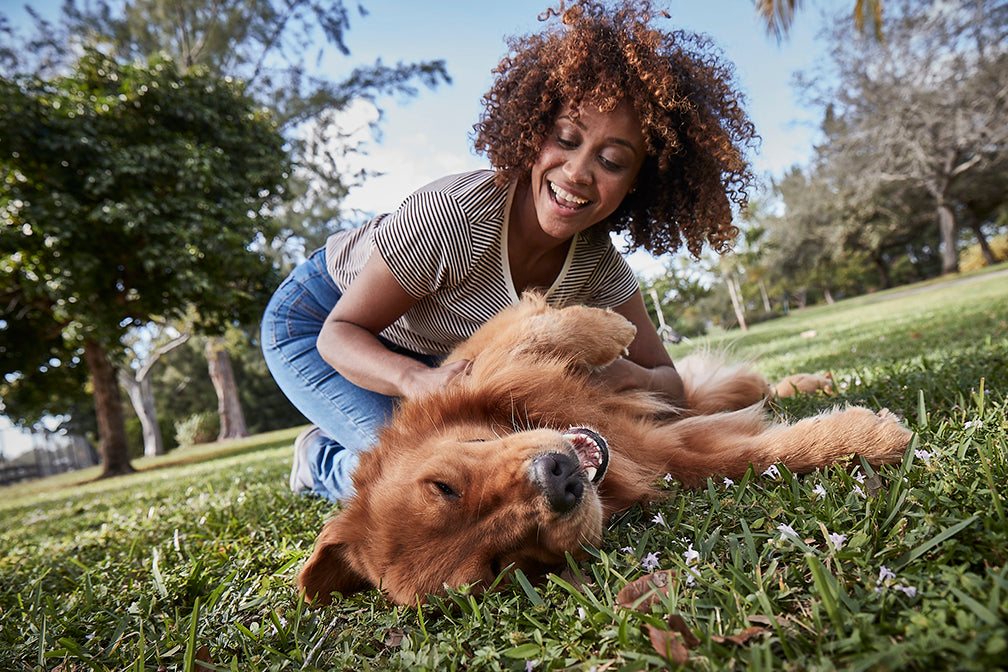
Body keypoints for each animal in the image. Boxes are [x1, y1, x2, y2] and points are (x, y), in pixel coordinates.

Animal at [296, 294, 915, 604]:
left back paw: (811, 381)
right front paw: (869, 438)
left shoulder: (485, 364)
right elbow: (753, 458)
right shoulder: (669, 453)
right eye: (501, 566)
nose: (561, 480)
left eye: (444, 486)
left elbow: (539, 329)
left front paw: (609, 329)